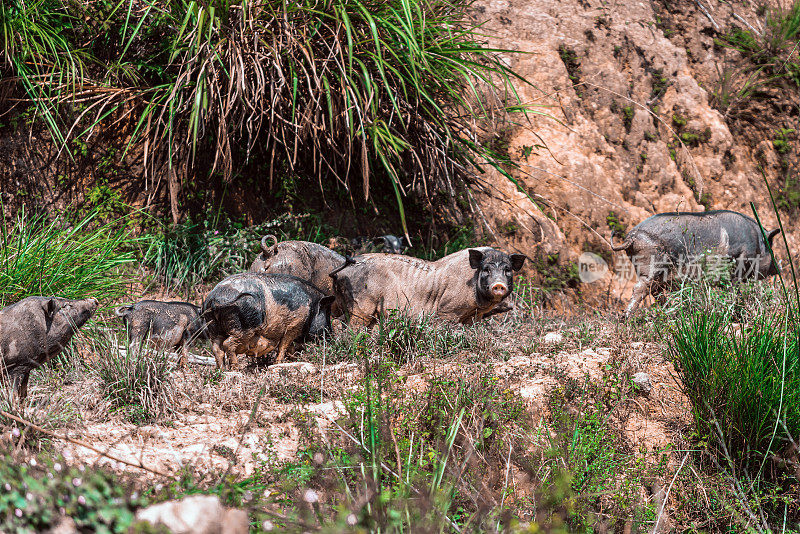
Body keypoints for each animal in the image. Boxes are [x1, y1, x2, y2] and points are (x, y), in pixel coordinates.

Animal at [203, 274, 338, 370]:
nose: (331, 336)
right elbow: (283, 345)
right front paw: (279, 362)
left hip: (213, 326)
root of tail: (214, 299)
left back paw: (222, 371)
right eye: (327, 313)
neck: (312, 306)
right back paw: (235, 369)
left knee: (216, 348)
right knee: (228, 344)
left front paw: (292, 359)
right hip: (243, 328)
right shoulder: (294, 325)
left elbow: (289, 347)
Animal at [330, 248, 524, 330]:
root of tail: (343, 269)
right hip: (361, 305)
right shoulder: (448, 311)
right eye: (486, 269)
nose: (498, 284)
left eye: (507, 270)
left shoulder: (473, 317)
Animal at [612, 209, 780, 318]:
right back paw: (627, 317)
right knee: (641, 288)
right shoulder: (737, 265)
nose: (777, 269)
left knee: (654, 291)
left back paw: (669, 310)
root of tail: (632, 236)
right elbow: (734, 290)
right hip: (653, 264)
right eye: (771, 247)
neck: (756, 243)